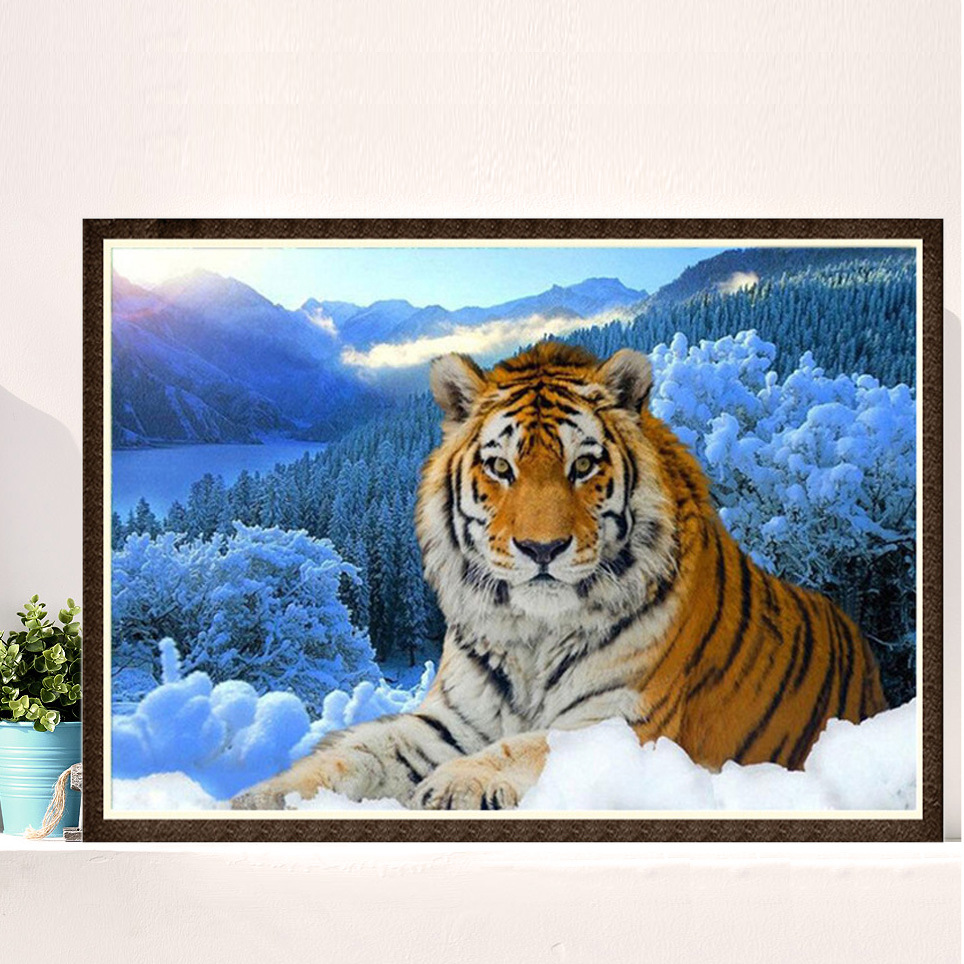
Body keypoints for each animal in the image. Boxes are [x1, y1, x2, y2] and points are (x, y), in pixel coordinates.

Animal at [231, 341, 888, 811]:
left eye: (584, 465)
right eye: (501, 467)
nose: (541, 548)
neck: (533, 635)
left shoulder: (624, 723)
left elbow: (525, 744)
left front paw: (453, 785)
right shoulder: (448, 721)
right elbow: (357, 752)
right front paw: (263, 796)